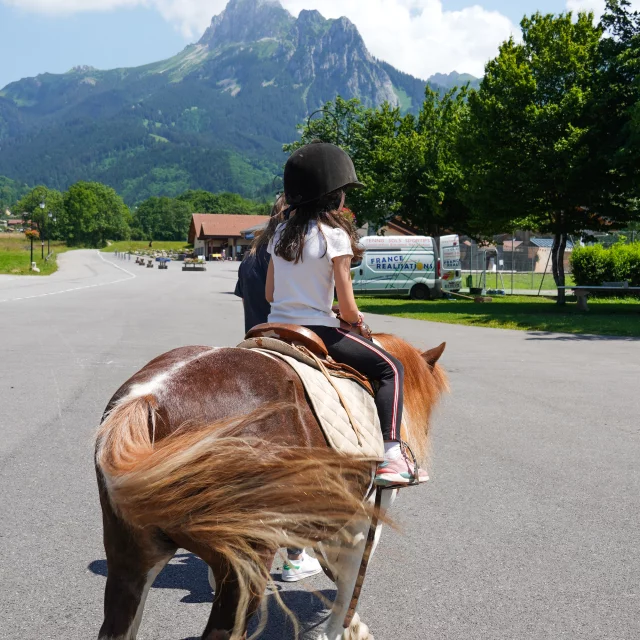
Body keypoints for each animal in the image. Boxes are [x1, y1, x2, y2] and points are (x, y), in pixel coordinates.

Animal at [95, 336, 448, 640]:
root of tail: (148, 398)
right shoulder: (363, 520)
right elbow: (349, 580)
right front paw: (342, 629)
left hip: (130, 556)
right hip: (248, 559)